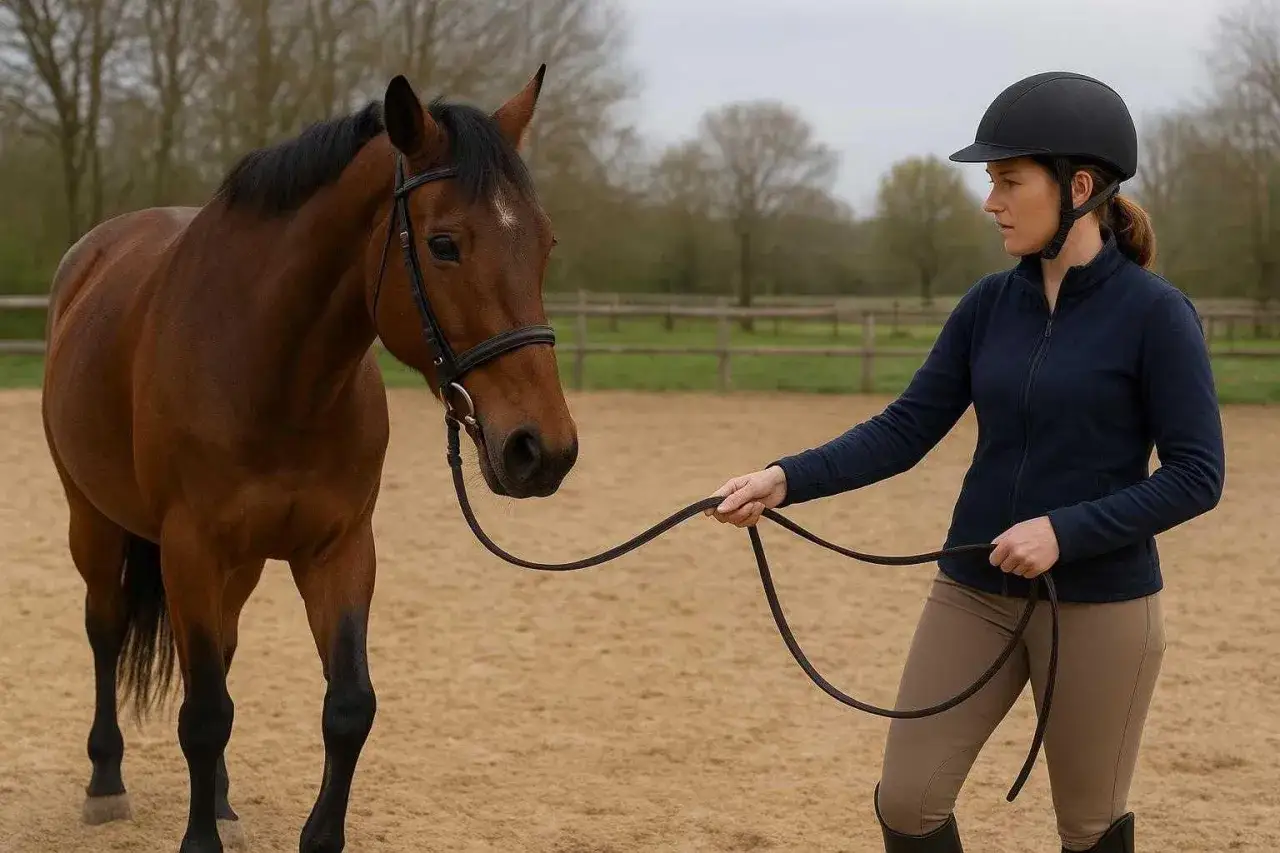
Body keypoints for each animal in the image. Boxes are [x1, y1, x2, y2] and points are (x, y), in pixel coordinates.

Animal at [39, 66, 578, 852]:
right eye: (444, 244)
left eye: (545, 242)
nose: (542, 449)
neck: (273, 369)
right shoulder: (191, 548)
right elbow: (203, 714)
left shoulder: (340, 548)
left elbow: (347, 707)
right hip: (95, 520)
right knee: (105, 630)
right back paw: (105, 781)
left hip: (241, 564)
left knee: (222, 654)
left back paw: (220, 799)